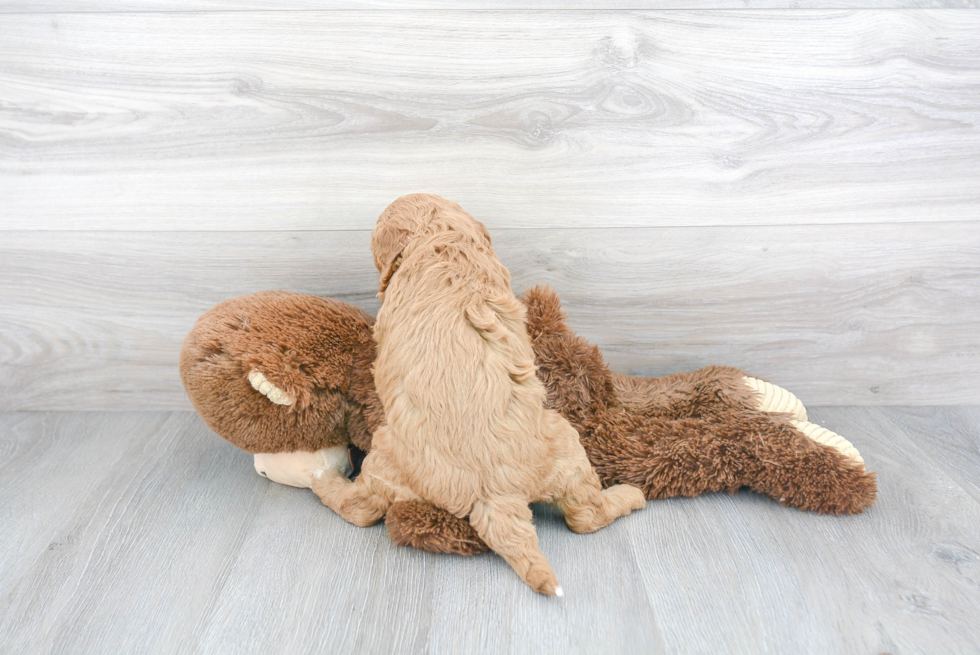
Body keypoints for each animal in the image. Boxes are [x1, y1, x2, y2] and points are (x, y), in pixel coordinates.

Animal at [310, 193, 648, 596]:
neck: (443, 238)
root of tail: (494, 494)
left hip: (387, 455)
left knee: (360, 509)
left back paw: (325, 481)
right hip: (564, 447)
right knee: (583, 517)